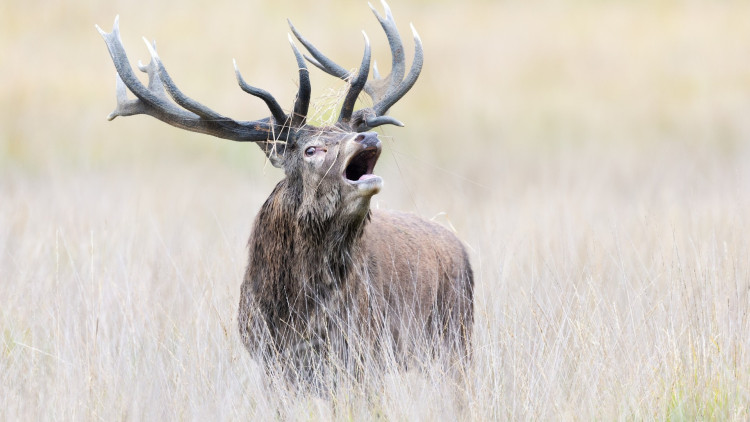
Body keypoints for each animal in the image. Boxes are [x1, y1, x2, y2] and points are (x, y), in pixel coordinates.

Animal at [97, 1, 473, 384]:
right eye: (311, 149)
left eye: (347, 134)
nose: (367, 136)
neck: (293, 309)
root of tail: (459, 247)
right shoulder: (270, 362)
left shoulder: (362, 355)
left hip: (456, 340)